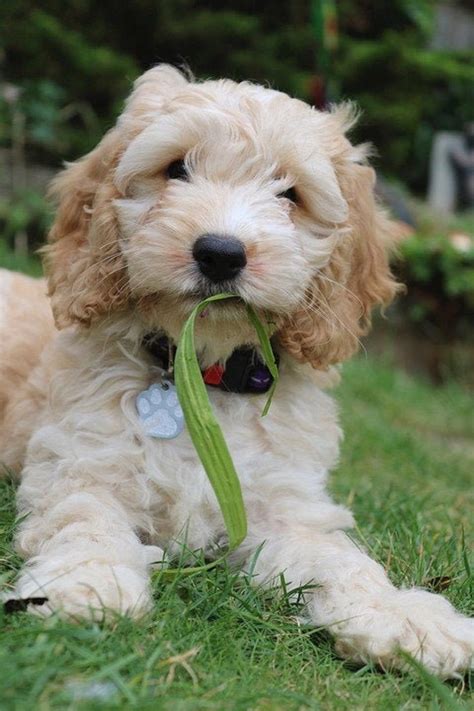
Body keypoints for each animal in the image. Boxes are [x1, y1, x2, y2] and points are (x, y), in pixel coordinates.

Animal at [0, 67, 472, 680]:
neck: (203, 377)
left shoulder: (284, 505)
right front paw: (86, 583)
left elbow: (340, 560)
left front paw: (402, 616)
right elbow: (86, 522)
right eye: (176, 169)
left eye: (290, 194)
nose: (221, 253)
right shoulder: (82, 464)